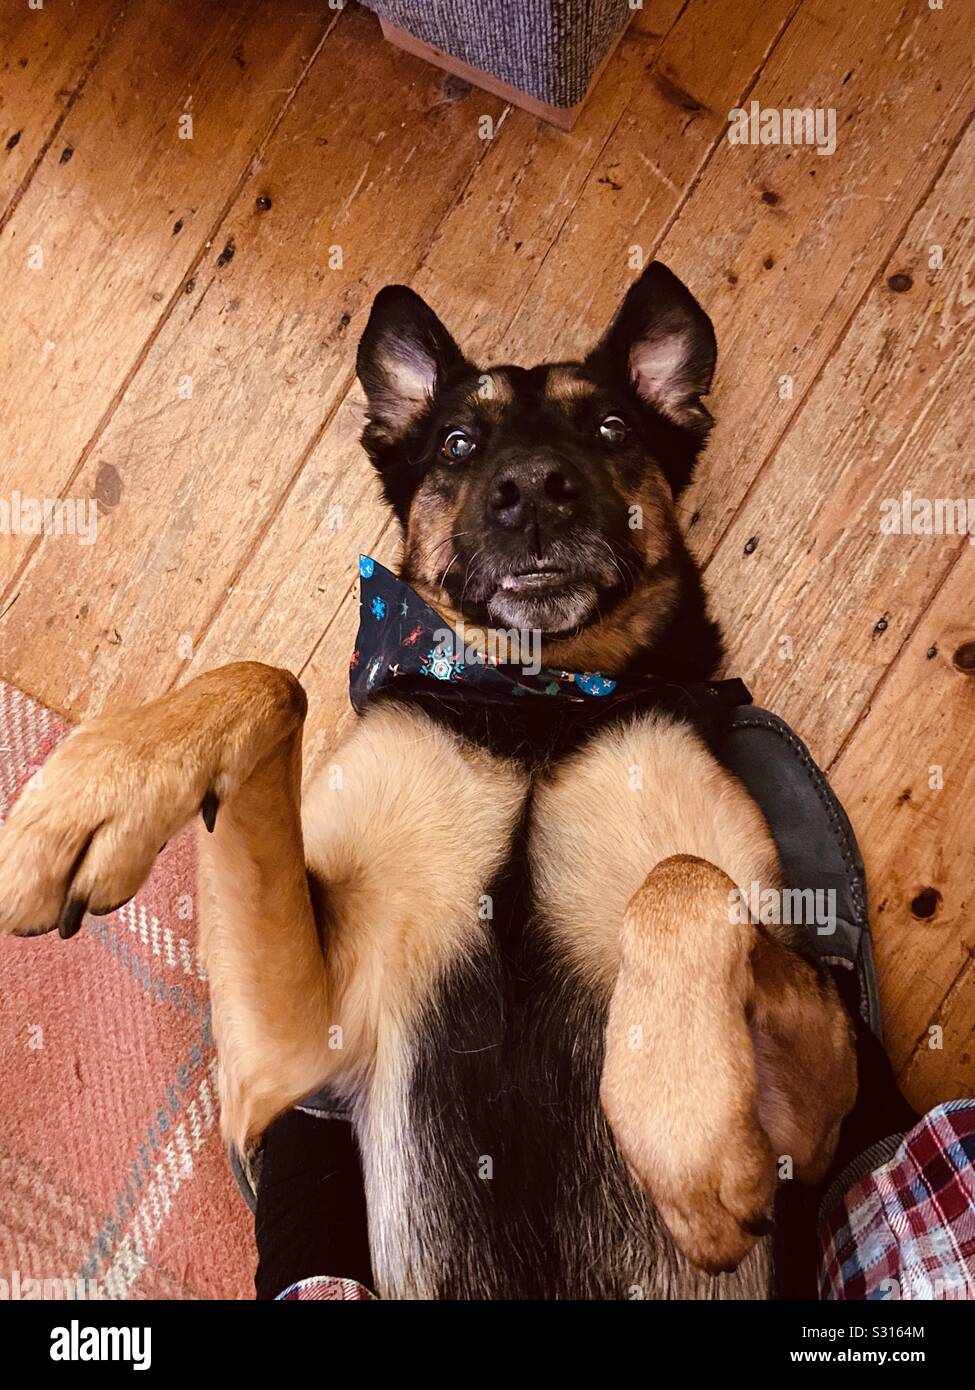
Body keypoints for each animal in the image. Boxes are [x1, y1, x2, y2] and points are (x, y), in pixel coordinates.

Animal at [0, 262, 851, 1301]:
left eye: (610, 428)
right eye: (457, 443)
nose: (534, 491)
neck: (535, 708)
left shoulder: (807, 1132)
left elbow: (685, 879)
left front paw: (683, 1121)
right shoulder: (285, 1066)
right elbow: (271, 681)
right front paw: (96, 791)